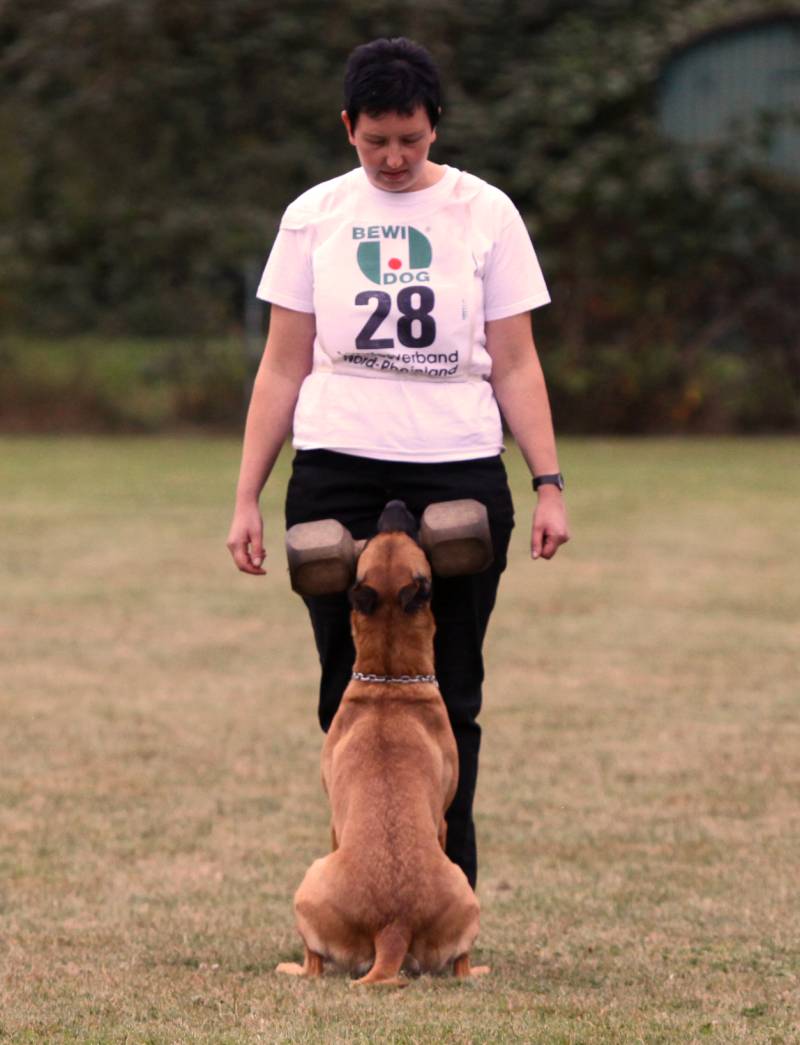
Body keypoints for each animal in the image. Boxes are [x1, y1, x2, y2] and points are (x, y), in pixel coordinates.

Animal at [276, 501, 489, 986]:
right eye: (382, 535)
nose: (395, 506)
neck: (390, 679)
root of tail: (394, 926)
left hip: (309, 878)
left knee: (313, 963)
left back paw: (292, 967)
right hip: (465, 895)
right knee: (461, 964)